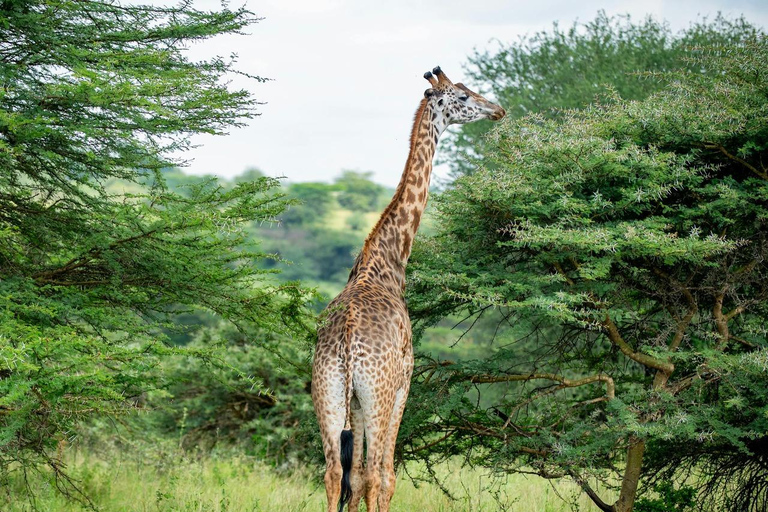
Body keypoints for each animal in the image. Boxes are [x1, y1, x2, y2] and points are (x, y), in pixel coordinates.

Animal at [312, 67, 504, 512]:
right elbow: (384, 477)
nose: (498, 110)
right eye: (463, 96)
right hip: (378, 396)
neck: (388, 262)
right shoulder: (404, 385)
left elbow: (355, 479)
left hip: (329, 394)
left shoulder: (357, 403)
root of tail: (347, 345)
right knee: (378, 474)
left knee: (333, 474)